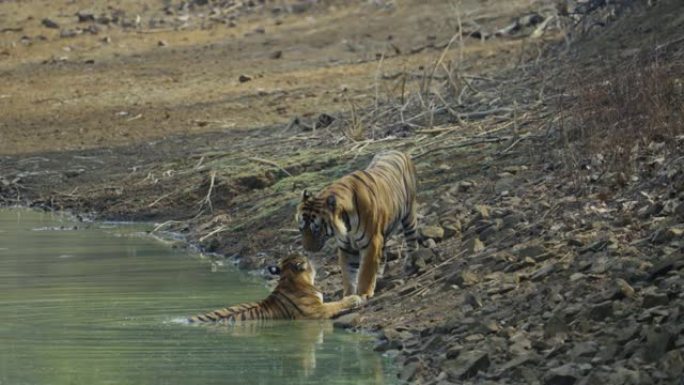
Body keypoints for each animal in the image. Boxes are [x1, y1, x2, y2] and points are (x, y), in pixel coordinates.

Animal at [296, 149, 420, 296]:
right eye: (301, 229)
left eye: (317, 229)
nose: (307, 249)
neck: (346, 225)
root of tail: (396, 150)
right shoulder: (346, 247)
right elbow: (348, 274)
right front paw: (349, 295)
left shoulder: (372, 241)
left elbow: (365, 271)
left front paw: (363, 293)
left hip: (409, 214)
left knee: (411, 239)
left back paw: (410, 263)